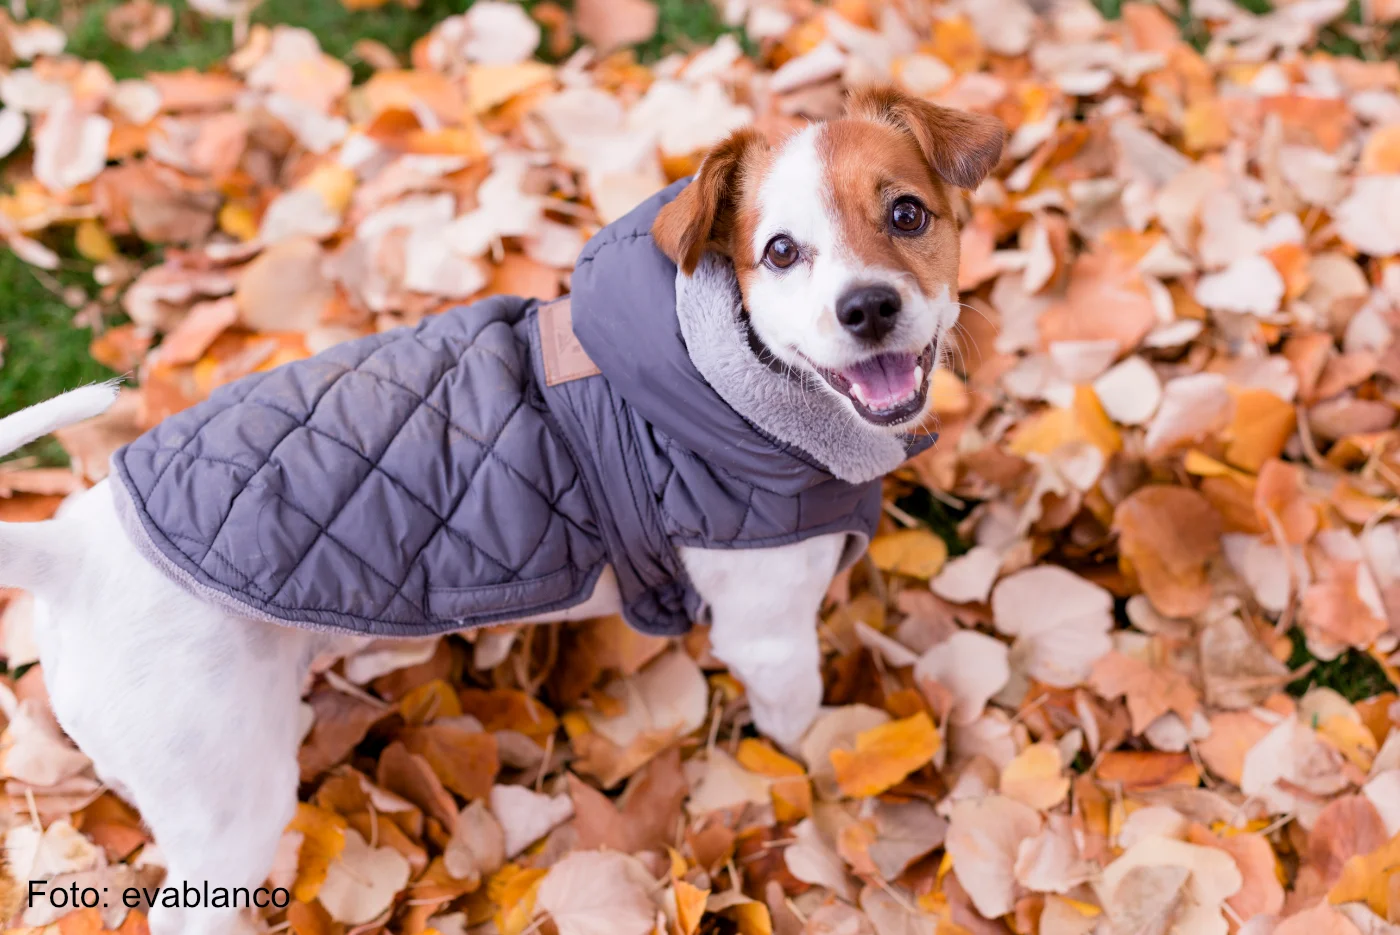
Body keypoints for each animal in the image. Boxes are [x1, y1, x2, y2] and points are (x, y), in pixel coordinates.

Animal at [2, 87, 1008, 935]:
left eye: (906, 213)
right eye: (781, 252)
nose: (869, 307)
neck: (722, 380)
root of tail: (65, 548)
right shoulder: (769, 638)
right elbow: (799, 733)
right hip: (228, 809)